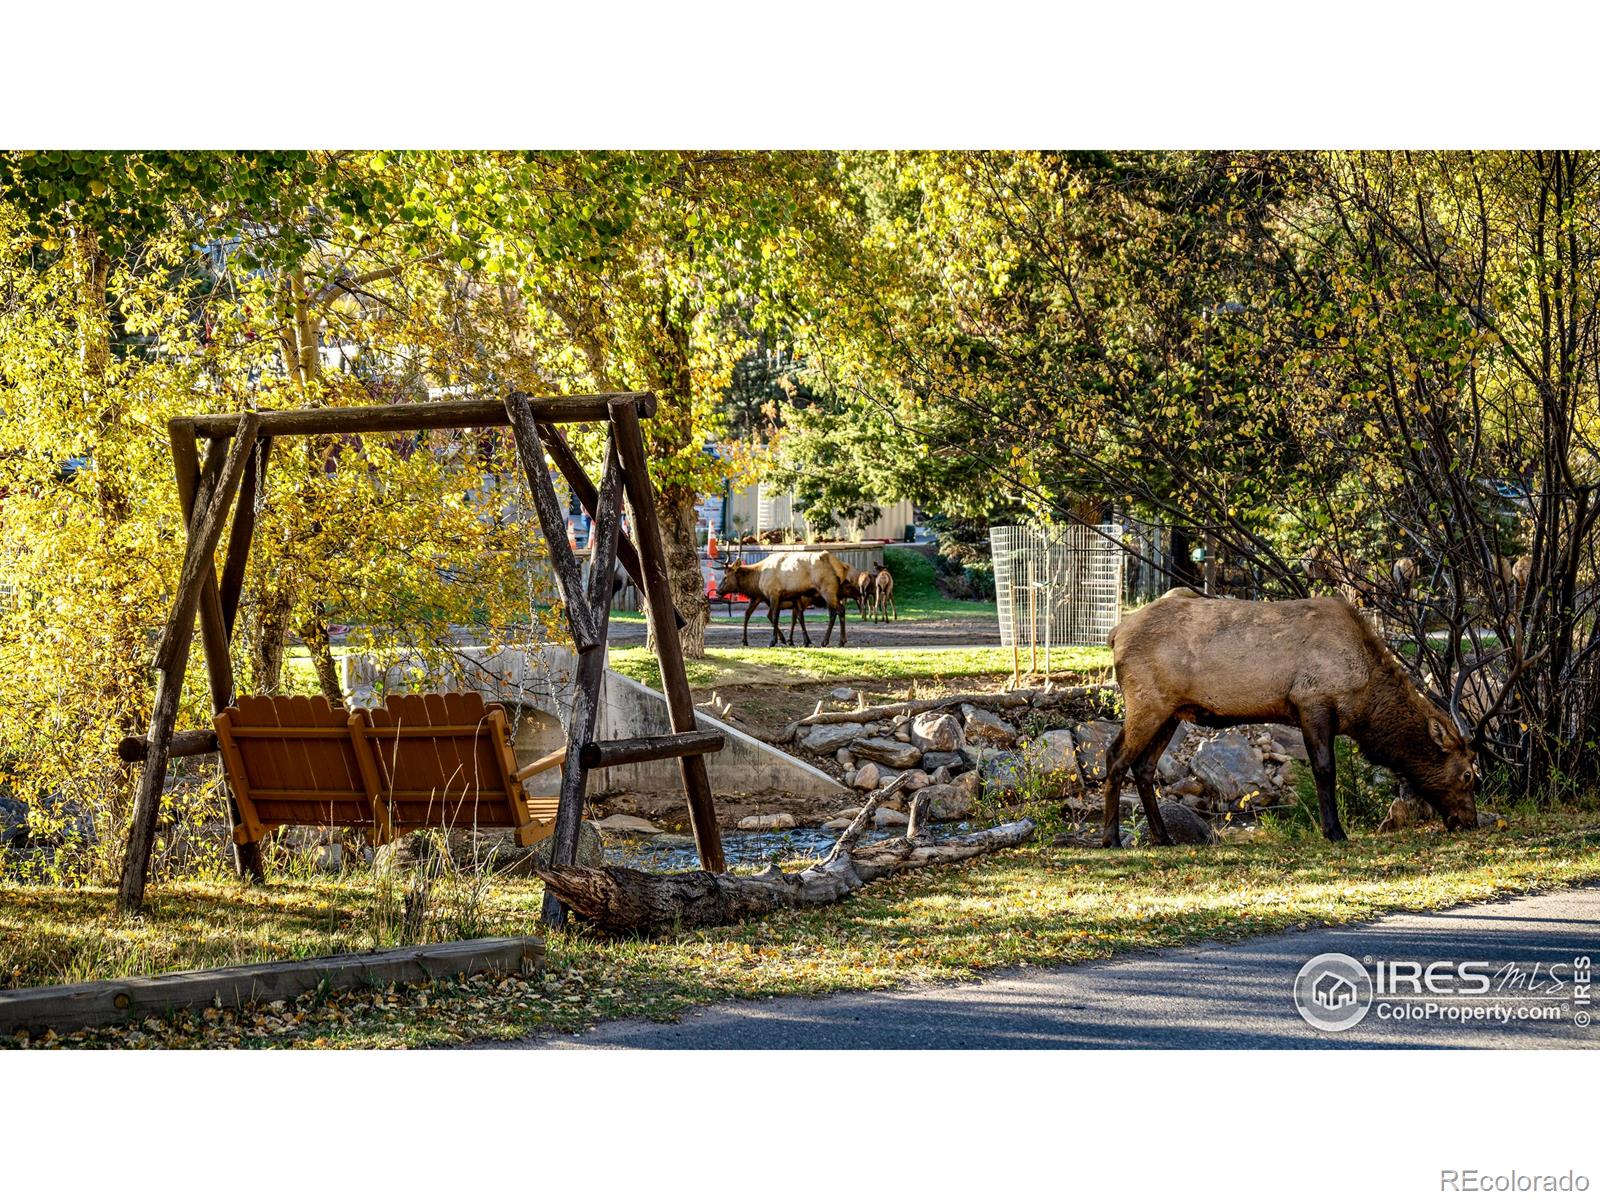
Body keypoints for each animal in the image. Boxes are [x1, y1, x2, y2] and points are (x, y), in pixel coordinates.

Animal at [1094, 588, 1478, 844]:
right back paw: (1111, 838)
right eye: (1467, 775)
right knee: (1115, 757)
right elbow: (1324, 769)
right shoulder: (1311, 702)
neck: (1364, 702)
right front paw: (1334, 831)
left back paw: (1163, 837)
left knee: (1144, 766)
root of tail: (1114, 635)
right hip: (1147, 702)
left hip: (1171, 711)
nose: (1470, 821)